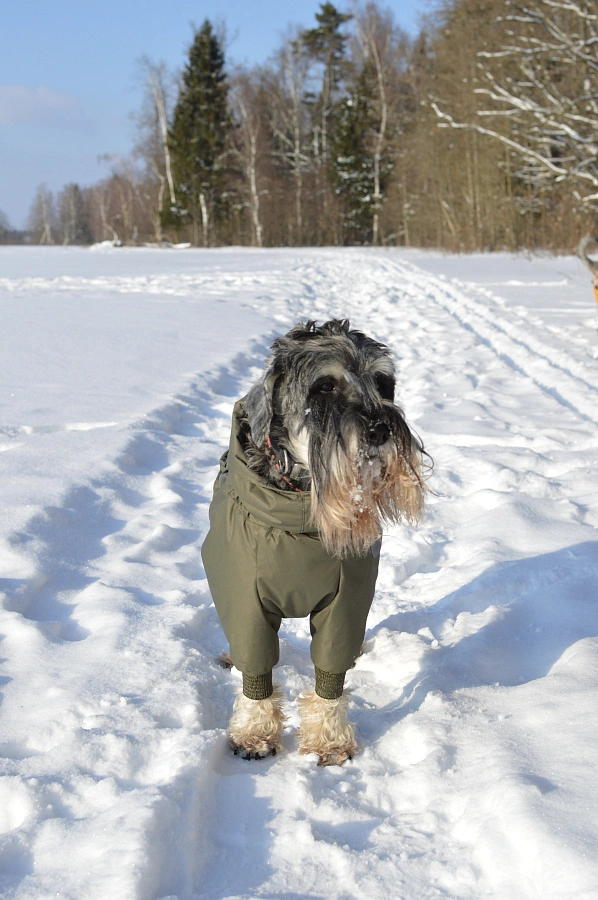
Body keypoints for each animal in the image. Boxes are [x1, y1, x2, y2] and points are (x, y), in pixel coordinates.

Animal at [203, 320, 432, 764]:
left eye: (384, 383)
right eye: (324, 386)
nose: (381, 429)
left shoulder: (346, 602)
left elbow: (331, 676)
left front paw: (329, 740)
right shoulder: (246, 601)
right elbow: (256, 669)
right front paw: (254, 734)